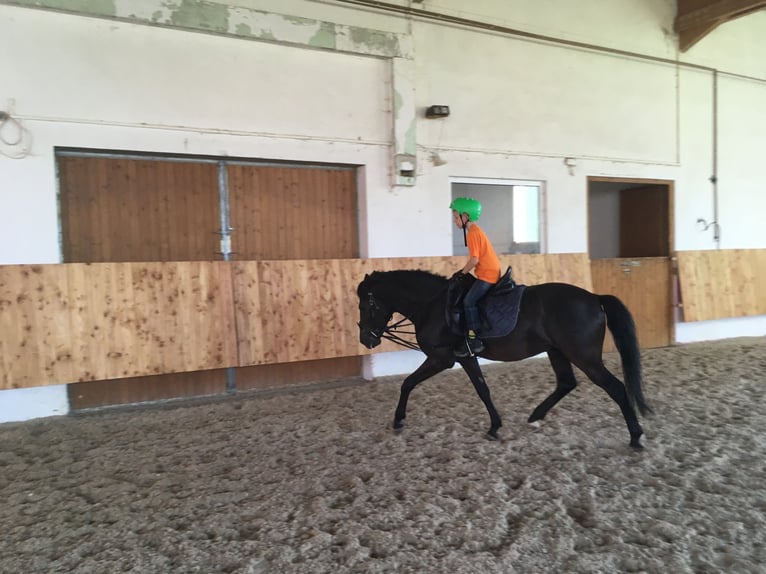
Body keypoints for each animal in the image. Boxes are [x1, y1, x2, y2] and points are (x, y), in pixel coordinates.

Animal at [358, 272, 656, 450]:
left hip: (584, 357)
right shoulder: (465, 357)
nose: (366, 340)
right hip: (557, 351)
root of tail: (594, 298)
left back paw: (636, 436)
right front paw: (495, 426)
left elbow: (407, 383)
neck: (433, 306)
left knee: (616, 388)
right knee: (566, 383)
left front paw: (398, 420)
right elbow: (483, 390)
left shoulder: (441, 358)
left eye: (367, 305)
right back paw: (536, 416)